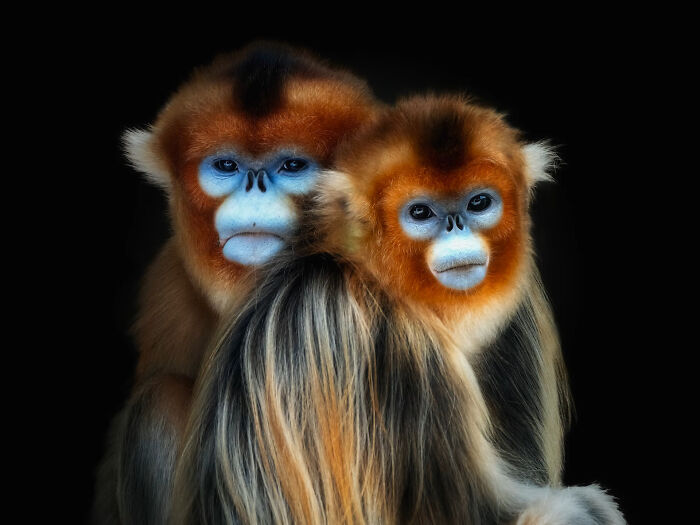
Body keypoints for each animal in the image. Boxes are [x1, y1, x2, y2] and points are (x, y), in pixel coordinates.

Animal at [172, 95, 624, 523]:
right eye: (420, 212)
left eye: (479, 203)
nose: (457, 227)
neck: (368, 271)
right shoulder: (404, 343)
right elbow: (483, 512)